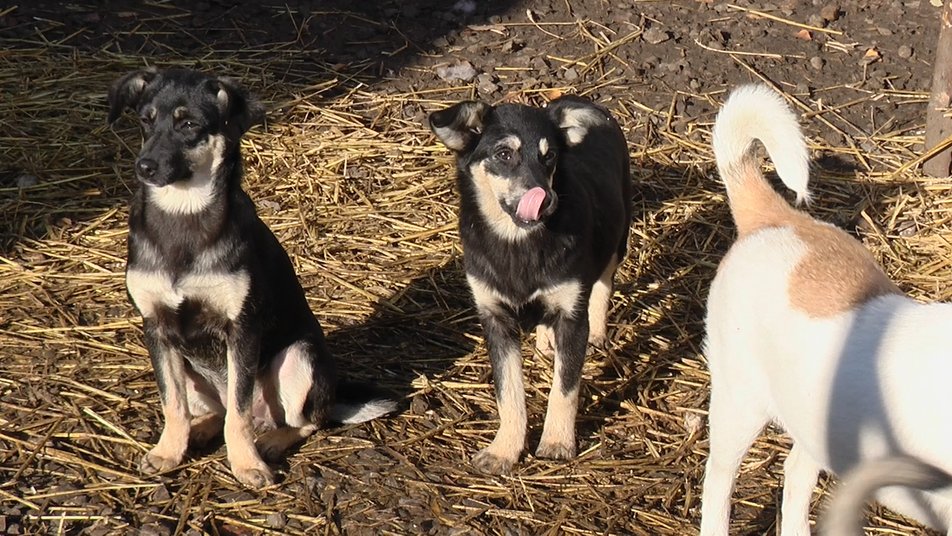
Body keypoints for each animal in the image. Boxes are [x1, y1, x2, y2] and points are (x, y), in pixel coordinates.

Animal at [109, 69, 396, 488]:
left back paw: (273, 441)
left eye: (189, 125)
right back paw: (198, 432)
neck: (183, 214)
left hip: (299, 359)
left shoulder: (242, 328)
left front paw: (246, 465)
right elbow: (173, 404)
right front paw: (167, 452)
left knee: (304, 420)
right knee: (213, 410)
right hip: (190, 368)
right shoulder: (157, 328)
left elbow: (240, 414)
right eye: (146, 121)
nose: (144, 167)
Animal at [430, 96, 632, 474]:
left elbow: (564, 389)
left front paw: (556, 442)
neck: (518, 243)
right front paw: (504, 450)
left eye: (549, 156)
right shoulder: (495, 319)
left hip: (619, 236)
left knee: (603, 283)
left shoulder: (572, 317)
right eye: (504, 154)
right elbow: (508, 394)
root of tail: (577, 99)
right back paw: (544, 341)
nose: (547, 199)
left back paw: (598, 332)